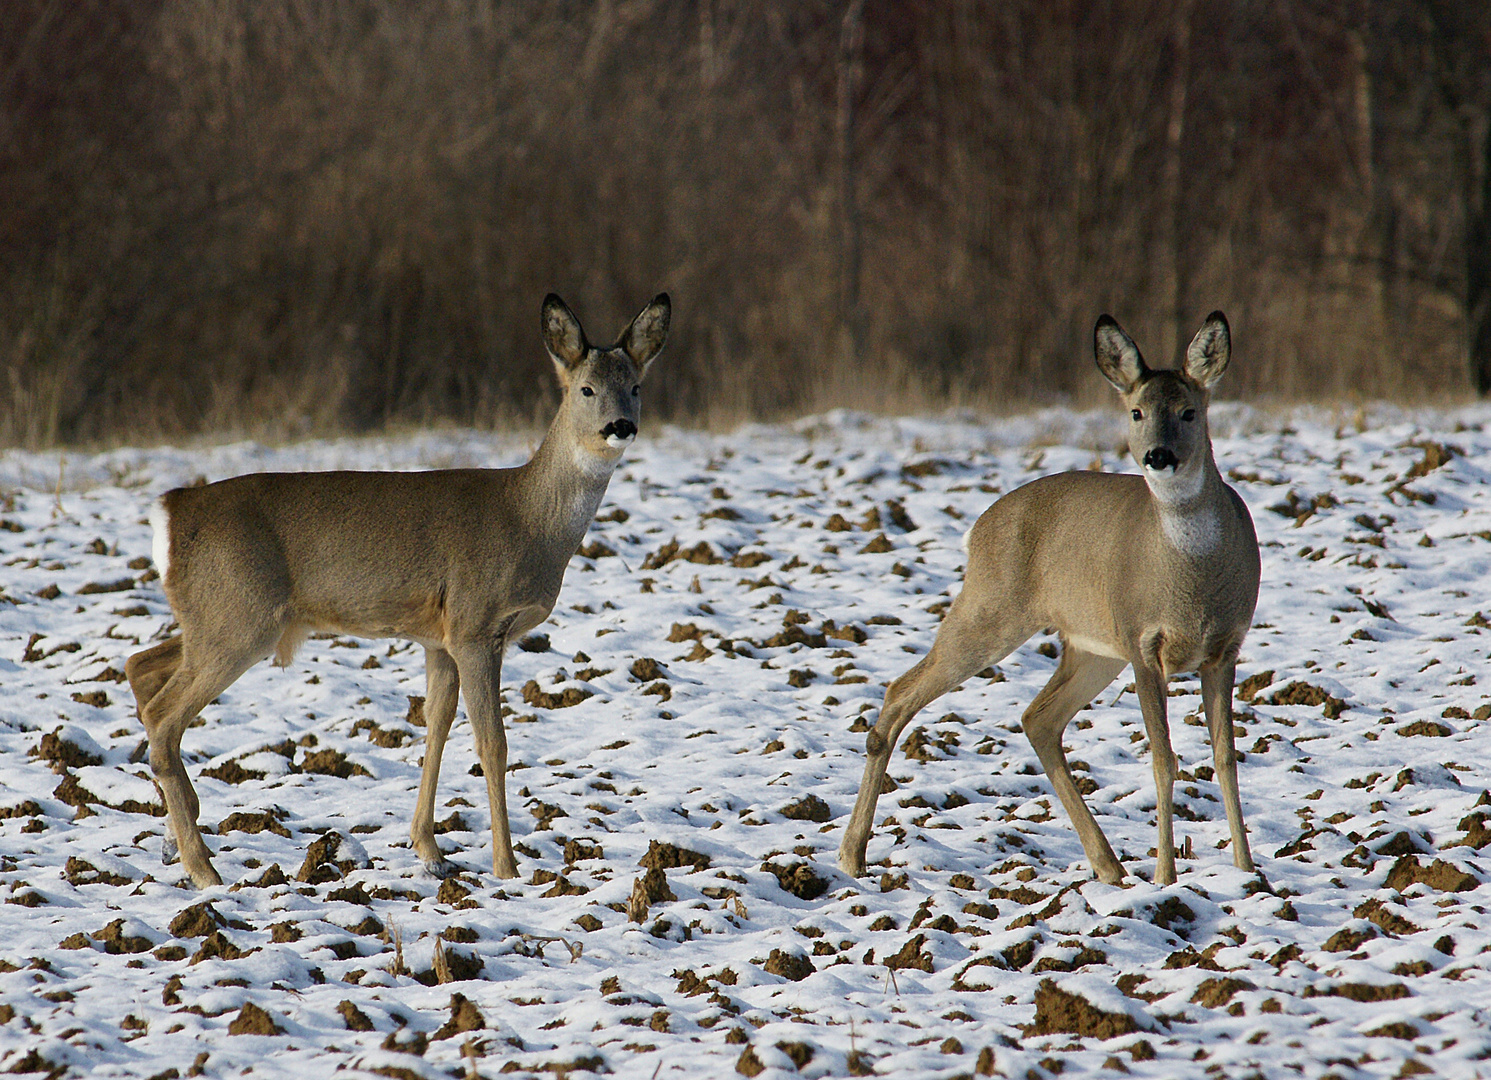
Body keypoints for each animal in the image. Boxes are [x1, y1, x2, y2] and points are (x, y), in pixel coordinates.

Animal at [125, 293, 673, 883]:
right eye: (585, 389)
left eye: (636, 385)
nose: (621, 425)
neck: (529, 519)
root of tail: (169, 511)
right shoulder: (475, 624)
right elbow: (493, 743)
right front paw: (506, 867)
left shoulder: (439, 638)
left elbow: (435, 727)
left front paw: (429, 849)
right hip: (239, 617)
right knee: (164, 716)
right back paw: (202, 868)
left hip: (212, 617)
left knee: (141, 670)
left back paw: (175, 841)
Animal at [840, 310, 1258, 883]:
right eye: (1136, 411)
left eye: (1189, 411)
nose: (1158, 456)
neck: (1192, 581)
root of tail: (978, 528)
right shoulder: (1142, 640)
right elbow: (1162, 759)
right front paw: (1165, 878)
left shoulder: (1226, 646)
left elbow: (1225, 759)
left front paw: (1249, 874)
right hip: (993, 607)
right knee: (902, 691)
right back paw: (851, 854)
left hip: (1090, 647)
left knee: (1039, 718)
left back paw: (1109, 866)